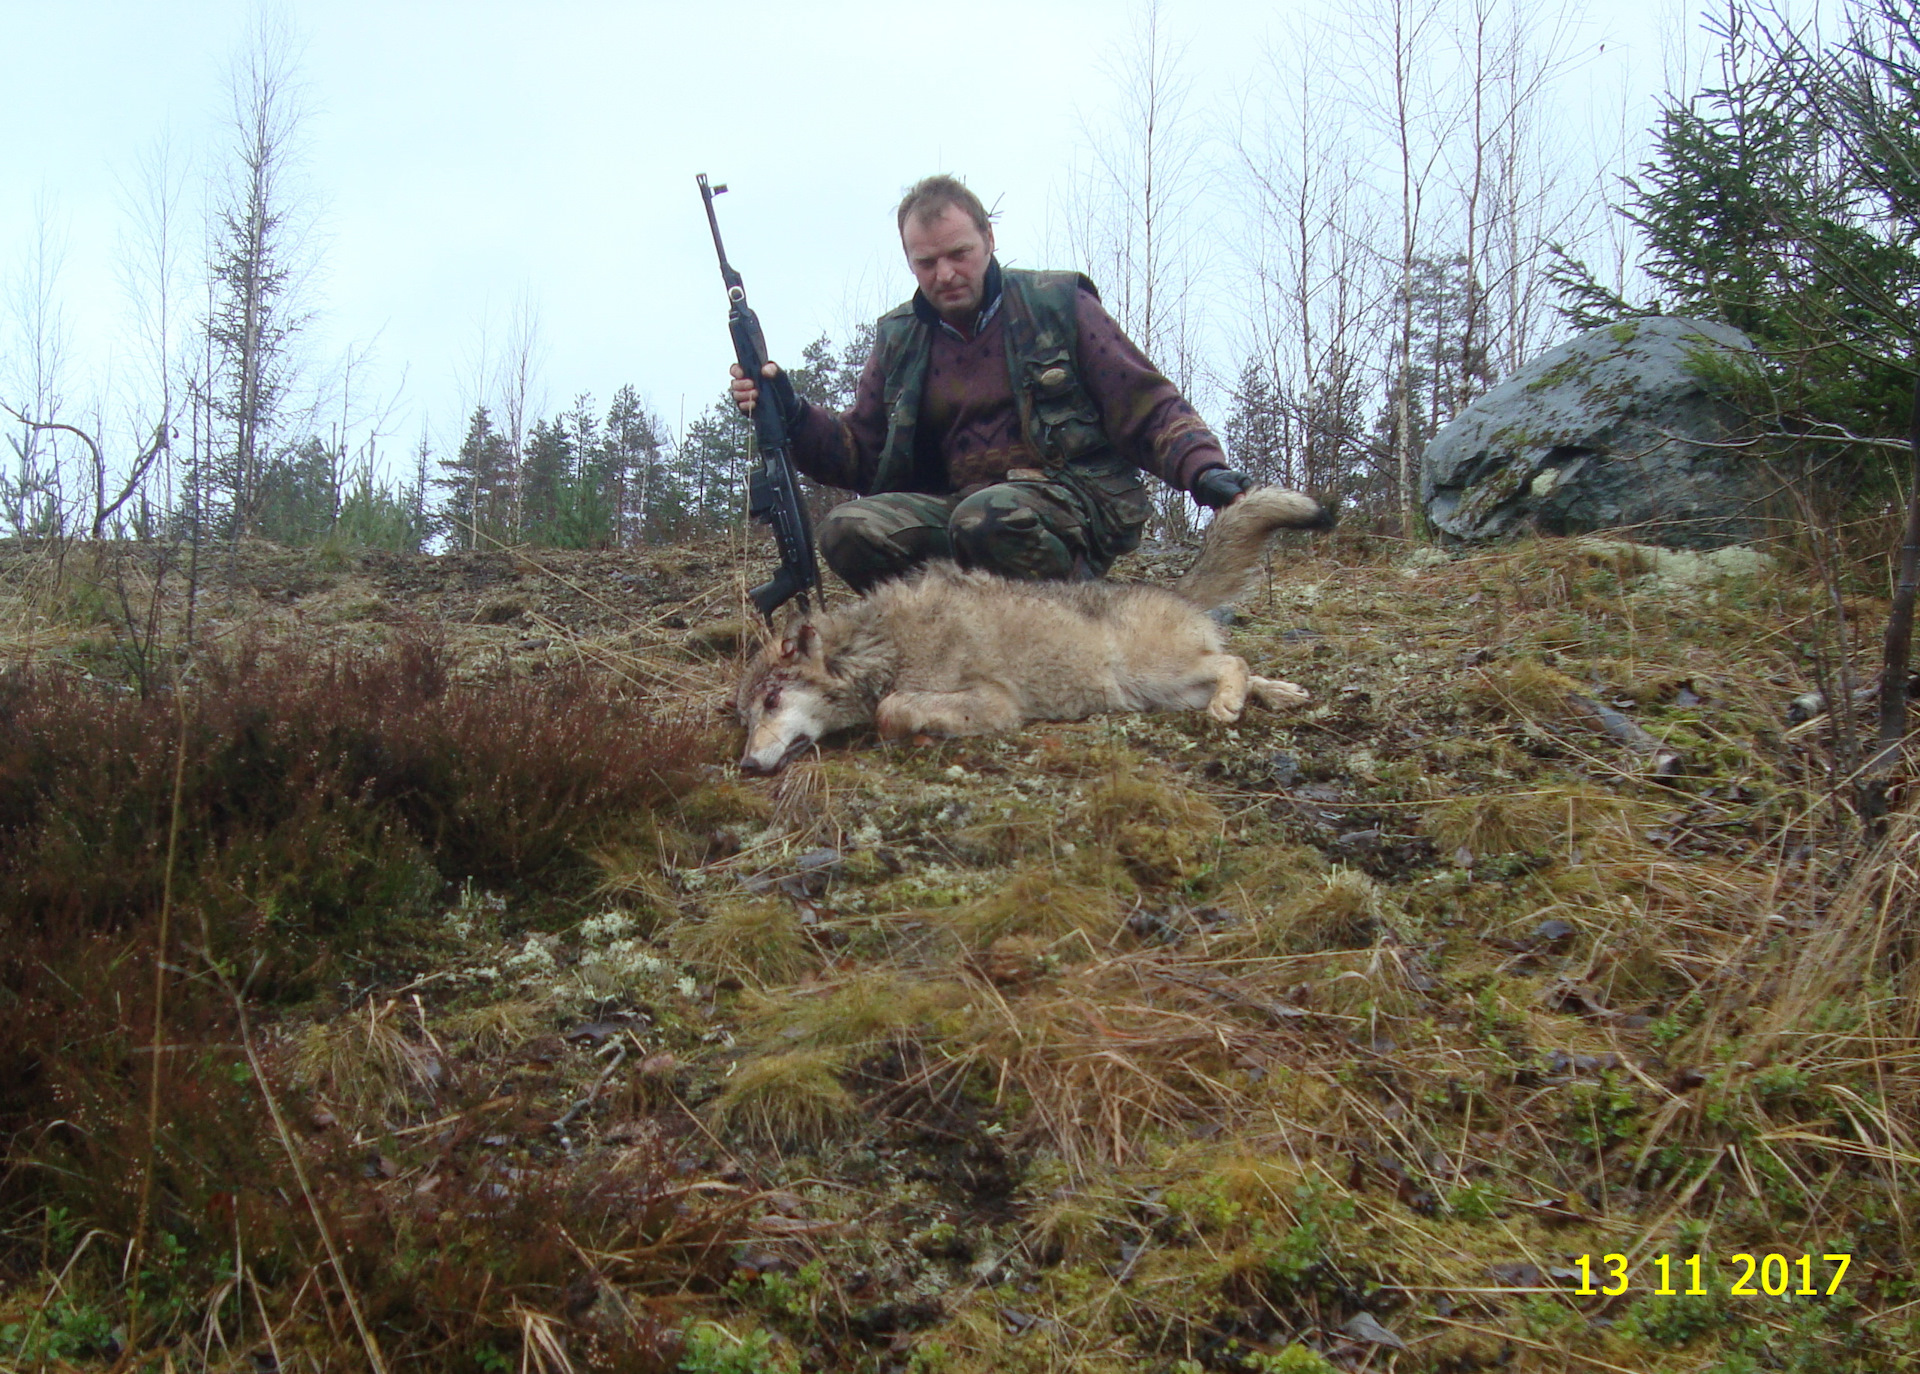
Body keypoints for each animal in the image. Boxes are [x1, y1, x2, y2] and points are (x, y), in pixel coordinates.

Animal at [733, 489, 1336, 771]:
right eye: (748, 718)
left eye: (772, 702)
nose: (745, 765)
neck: (882, 646)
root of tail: (1176, 590)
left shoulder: (996, 703)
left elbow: (890, 711)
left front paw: (919, 731)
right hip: (1165, 691)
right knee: (1245, 670)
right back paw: (1282, 693)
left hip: (1159, 676)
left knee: (1235, 662)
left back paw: (1230, 705)